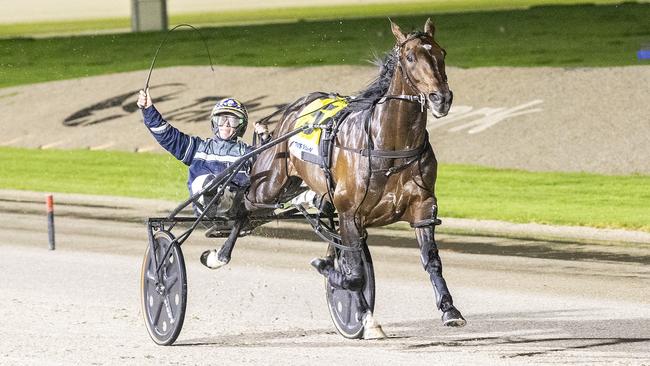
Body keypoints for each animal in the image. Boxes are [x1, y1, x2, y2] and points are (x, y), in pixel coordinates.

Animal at [244, 19, 466, 340]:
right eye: (411, 57)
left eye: (442, 52)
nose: (442, 98)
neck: (389, 145)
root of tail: (295, 107)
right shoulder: (350, 214)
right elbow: (354, 273)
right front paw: (358, 308)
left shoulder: (424, 206)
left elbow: (431, 260)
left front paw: (450, 310)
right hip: (267, 186)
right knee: (244, 206)